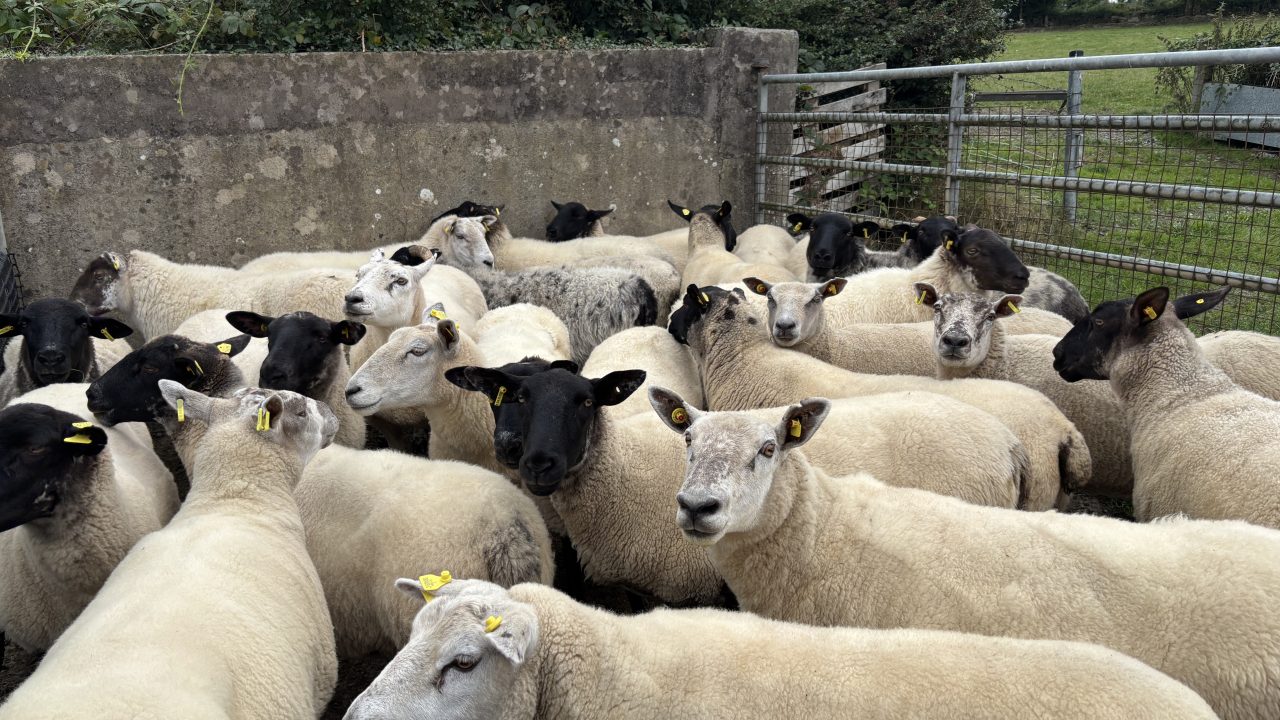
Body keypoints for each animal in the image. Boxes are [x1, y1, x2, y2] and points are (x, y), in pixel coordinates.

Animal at [446, 363, 1032, 605]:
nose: (536, 464)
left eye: (586, 401)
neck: (621, 472)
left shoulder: (685, 591)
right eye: (516, 398)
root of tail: (1011, 444)